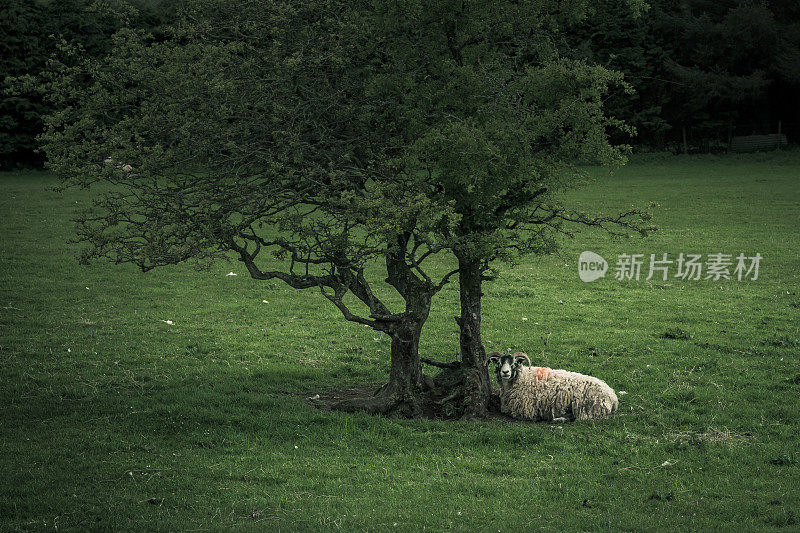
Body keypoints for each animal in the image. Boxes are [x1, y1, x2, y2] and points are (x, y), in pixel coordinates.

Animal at [488, 352, 620, 422]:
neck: (522, 378)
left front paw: (538, 417)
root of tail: (613, 396)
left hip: (587, 408)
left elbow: (515, 414)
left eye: (514, 363)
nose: (505, 372)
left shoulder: (526, 410)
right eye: (499, 363)